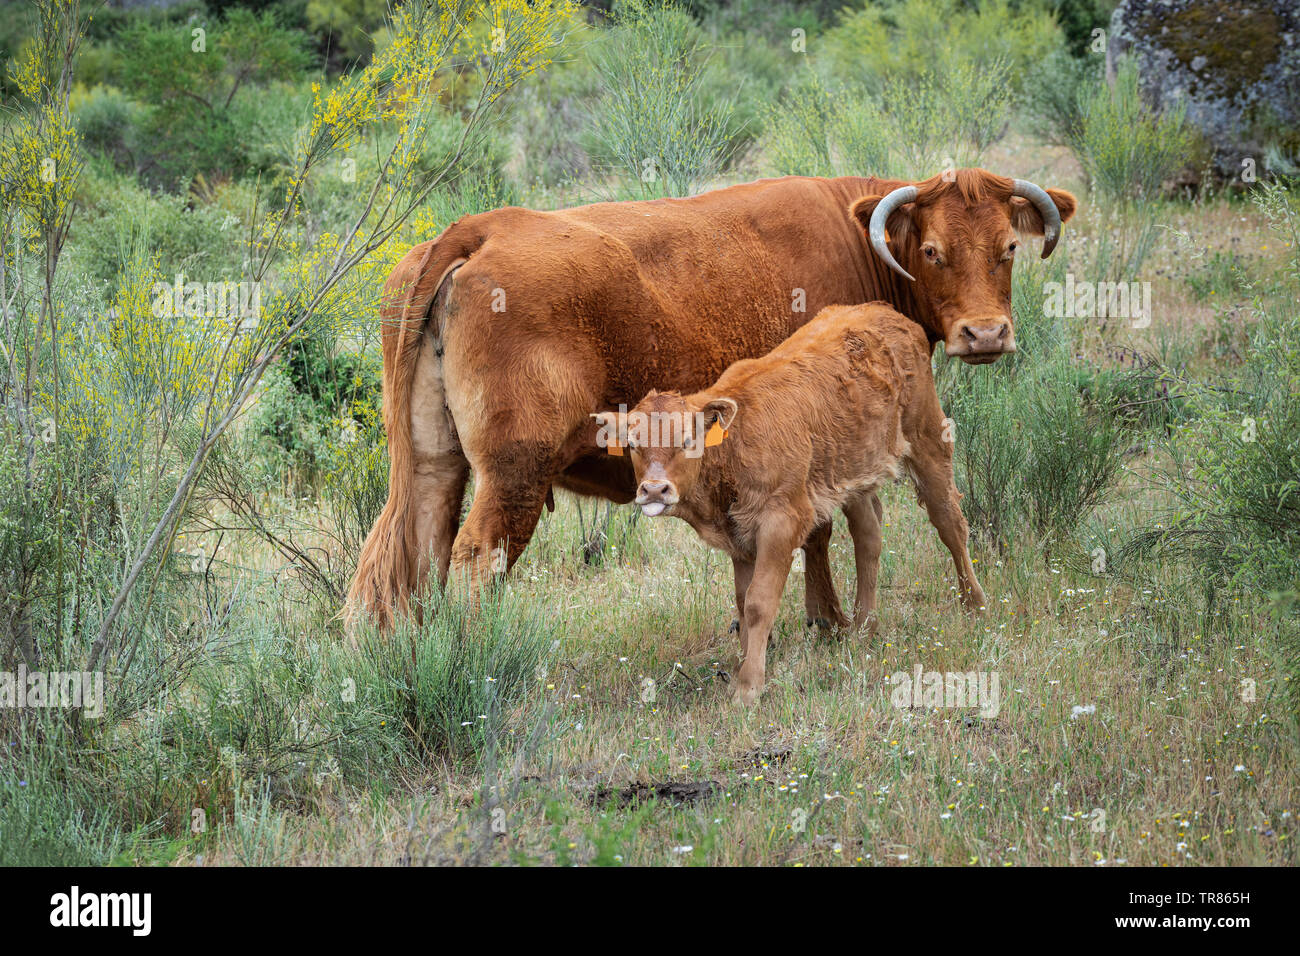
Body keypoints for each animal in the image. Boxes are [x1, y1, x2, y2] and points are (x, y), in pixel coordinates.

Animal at [346, 169, 1075, 628]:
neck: (856, 241)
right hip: (514, 476)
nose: (985, 334)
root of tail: (483, 228)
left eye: (1009, 246)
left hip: (433, 466)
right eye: (931, 249)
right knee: (474, 558)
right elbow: (822, 529)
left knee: (398, 560)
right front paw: (829, 621)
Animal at [594, 302, 984, 704]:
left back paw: (976, 606)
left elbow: (758, 602)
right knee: (868, 536)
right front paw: (741, 672)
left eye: (688, 440)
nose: (655, 490)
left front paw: (749, 687)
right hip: (854, 472)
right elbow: (742, 601)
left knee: (950, 523)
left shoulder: (782, 522)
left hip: (928, 440)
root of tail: (884, 311)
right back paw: (864, 625)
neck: (735, 444)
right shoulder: (740, 540)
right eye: (633, 443)